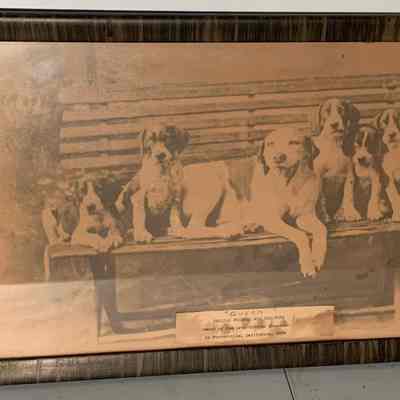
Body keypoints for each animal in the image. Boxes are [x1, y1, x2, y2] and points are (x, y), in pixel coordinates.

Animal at [115, 125, 243, 242]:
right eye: (150, 139)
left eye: (167, 138)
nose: (160, 155)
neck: (163, 171)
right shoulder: (139, 195)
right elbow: (140, 215)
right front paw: (141, 234)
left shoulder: (175, 197)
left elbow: (174, 217)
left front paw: (177, 228)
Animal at [243, 126, 327, 278]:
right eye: (270, 144)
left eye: (294, 142)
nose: (278, 157)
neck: (289, 186)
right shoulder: (273, 219)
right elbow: (301, 235)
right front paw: (307, 264)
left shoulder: (305, 217)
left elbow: (322, 229)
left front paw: (317, 258)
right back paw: (250, 225)